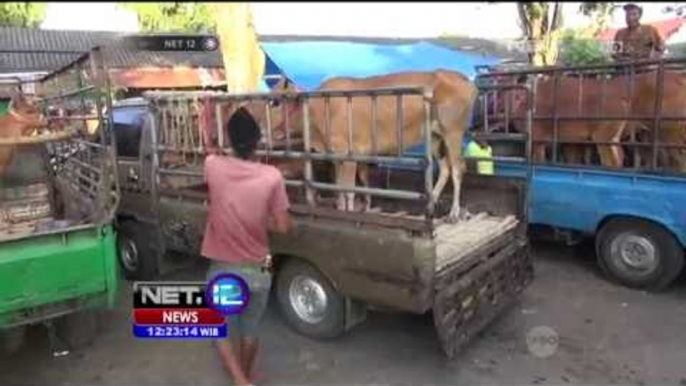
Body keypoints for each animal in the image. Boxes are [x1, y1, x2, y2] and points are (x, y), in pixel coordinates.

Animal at [264, 70, 478, 223]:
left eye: (275, 102)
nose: (262, 132)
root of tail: (462, 78)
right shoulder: (337, 157)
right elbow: (339, 188)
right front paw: (341, 210)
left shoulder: (348, 154)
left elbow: (349, 190)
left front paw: (349, 214)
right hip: (435, 136)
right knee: (445, 168)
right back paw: (431, 202)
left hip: (453, 132)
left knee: (458, 169)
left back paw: (454, 213)